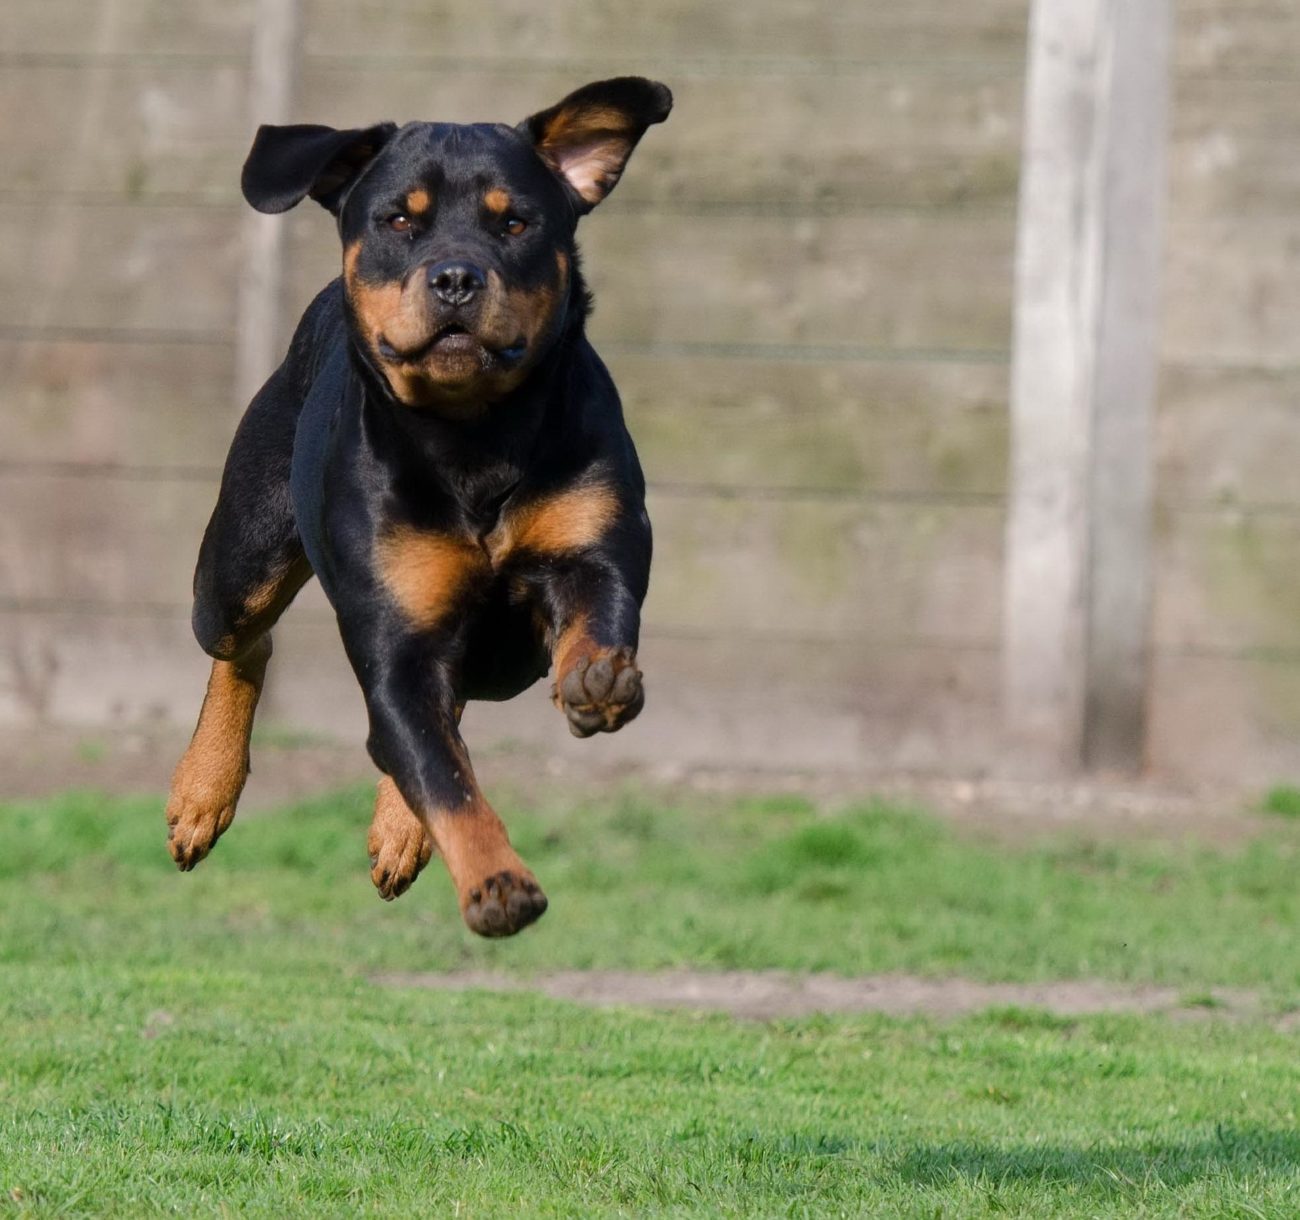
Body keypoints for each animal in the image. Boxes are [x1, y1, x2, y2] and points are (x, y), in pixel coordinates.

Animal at [162, 76, 670, 931]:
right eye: (400, 219)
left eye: (514, 222)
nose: (457, 276)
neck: (474, 436)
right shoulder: (395, 632)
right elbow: (441, 775)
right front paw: (497, 882)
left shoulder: (593, 545)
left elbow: (595, 616)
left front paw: (597, 678)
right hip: (237, 567)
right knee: (246, 645)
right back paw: (202, 795)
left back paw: (396, 829)